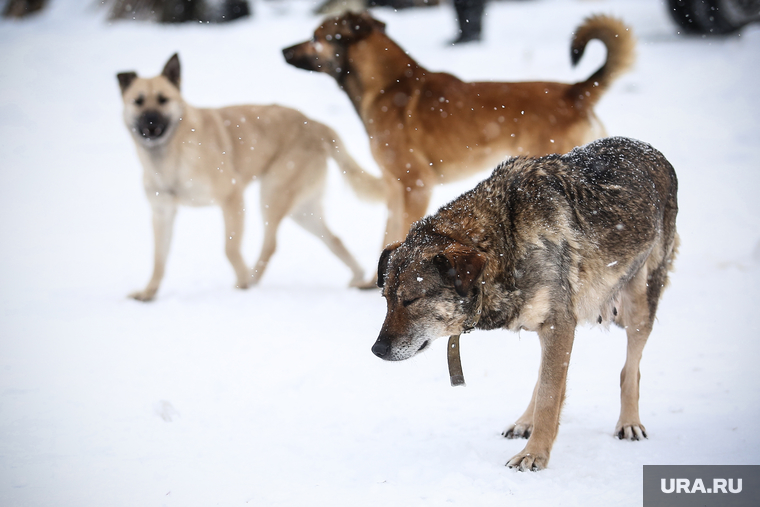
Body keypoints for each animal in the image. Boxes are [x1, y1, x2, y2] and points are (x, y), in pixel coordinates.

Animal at [117, 54, 386, 302]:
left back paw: (253, 279)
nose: (150, 123)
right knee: (334, 240)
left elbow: (230, 247)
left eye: (163, 100)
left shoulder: (232, 197)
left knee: (271, 244)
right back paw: (358, 277)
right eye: (138, 101)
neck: (170, 155)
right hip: (303, 211)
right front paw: (149, 292)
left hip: (271, 195)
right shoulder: (162, 213)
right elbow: (158, 258)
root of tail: (316, 125)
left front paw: (243, 281)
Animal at [284, 11, 636, 246]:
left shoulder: (415, 186)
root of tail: (575, 92)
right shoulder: (395, 189)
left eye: (316, 37)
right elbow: (387, 234)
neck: (388, 87)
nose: (283, 50)